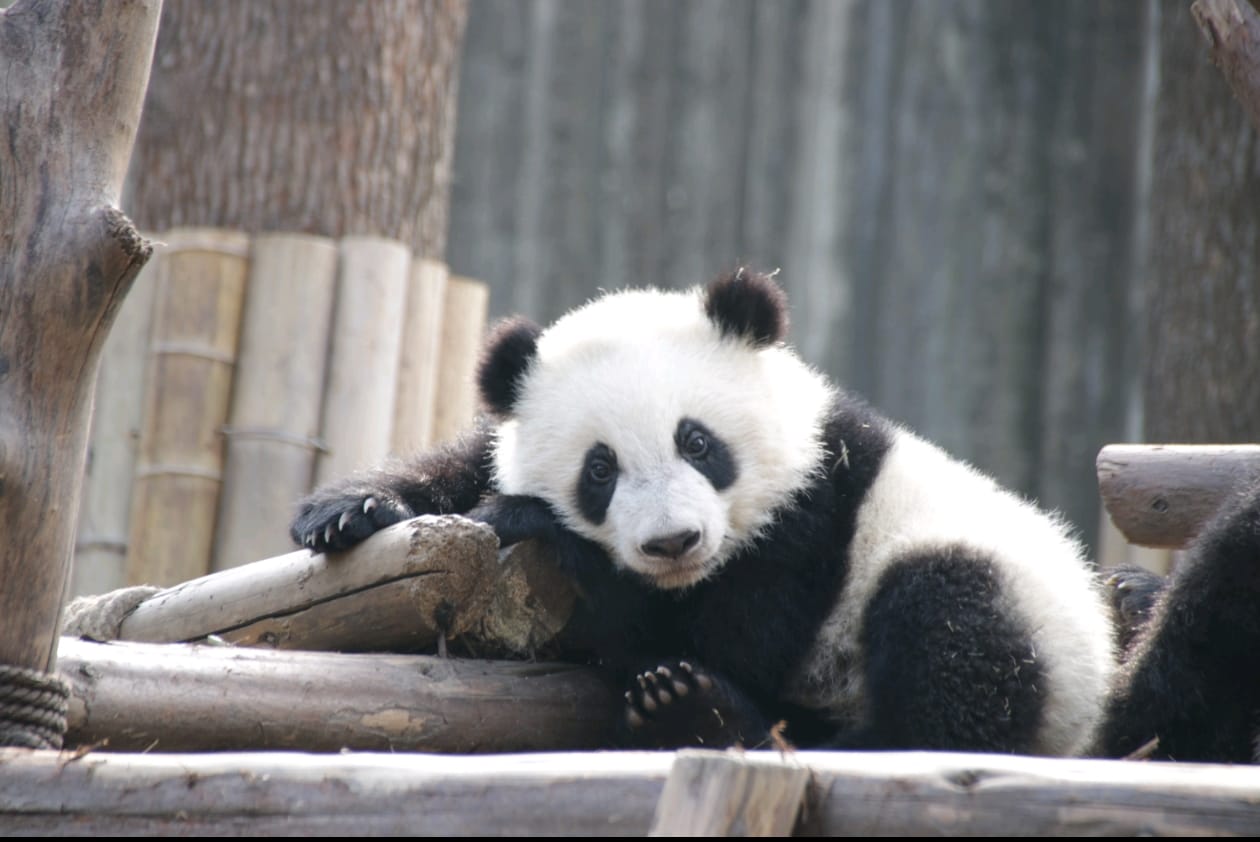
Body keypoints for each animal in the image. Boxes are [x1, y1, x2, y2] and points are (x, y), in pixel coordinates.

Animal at [292, 269, 1260, 761]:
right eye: (601, 469)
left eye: (699, 443)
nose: (673, 541)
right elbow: (467, 458)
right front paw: (350, 509)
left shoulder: (808, 517)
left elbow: (725, 637)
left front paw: (546, 534)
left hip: (1025, 620)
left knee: (954, 659)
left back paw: (704, 715)